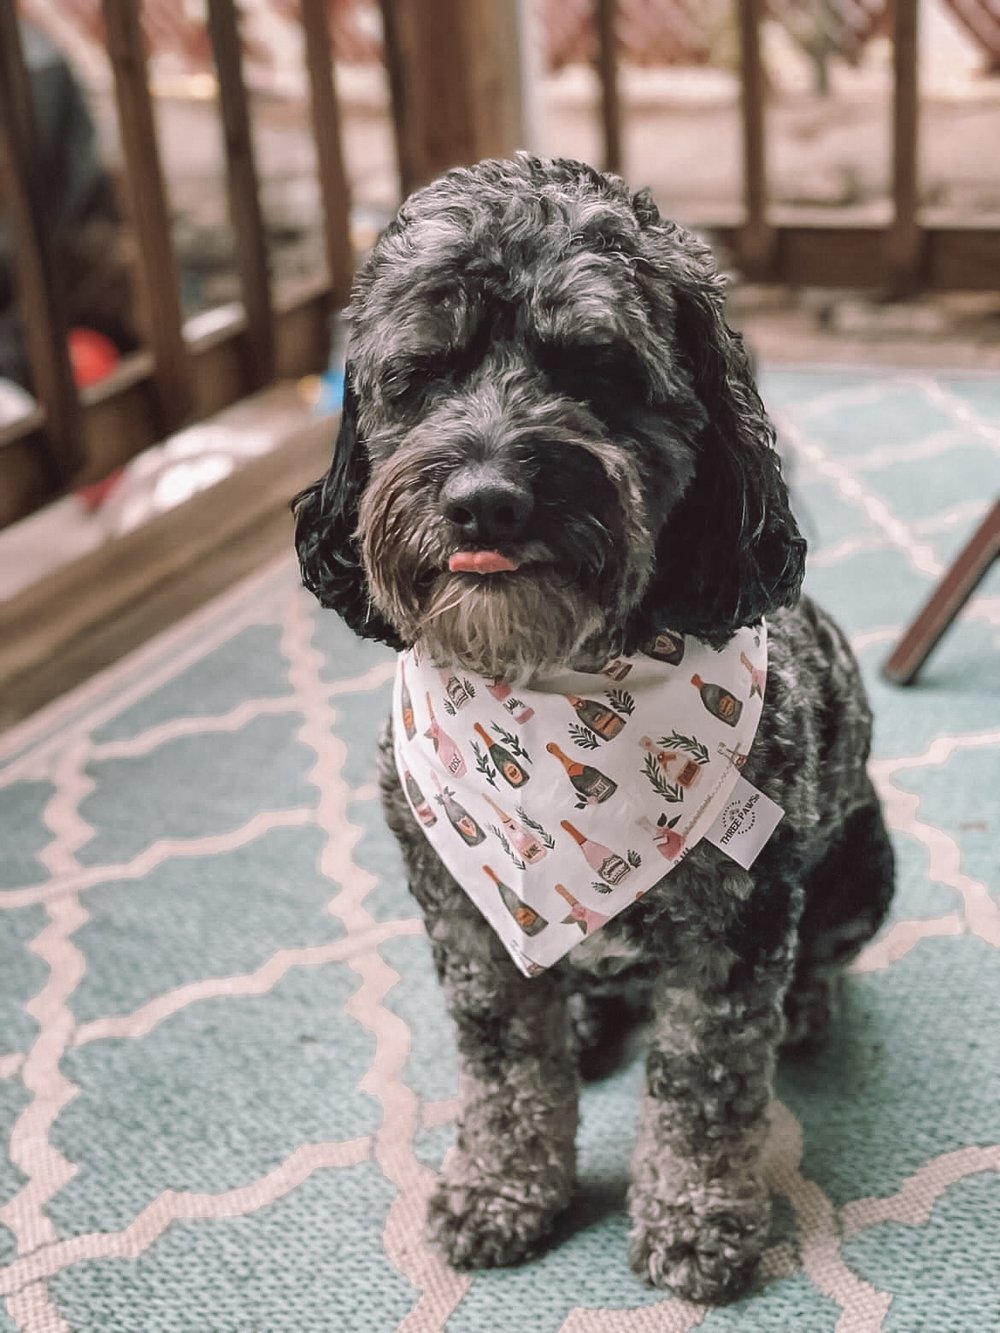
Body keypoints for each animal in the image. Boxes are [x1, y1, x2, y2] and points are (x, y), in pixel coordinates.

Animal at [293, 153, 896, 1301]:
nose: (485, 499)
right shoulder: (466, 918)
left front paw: (697, 1217)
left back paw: (805, 1007)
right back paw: (582, 1017)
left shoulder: (734, 927)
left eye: (598, 368)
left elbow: (704, 1083)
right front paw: (501, 1187)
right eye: (423, 373)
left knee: (819, 959)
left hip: (866, 867)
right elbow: (503, 1070)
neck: (552, 685)